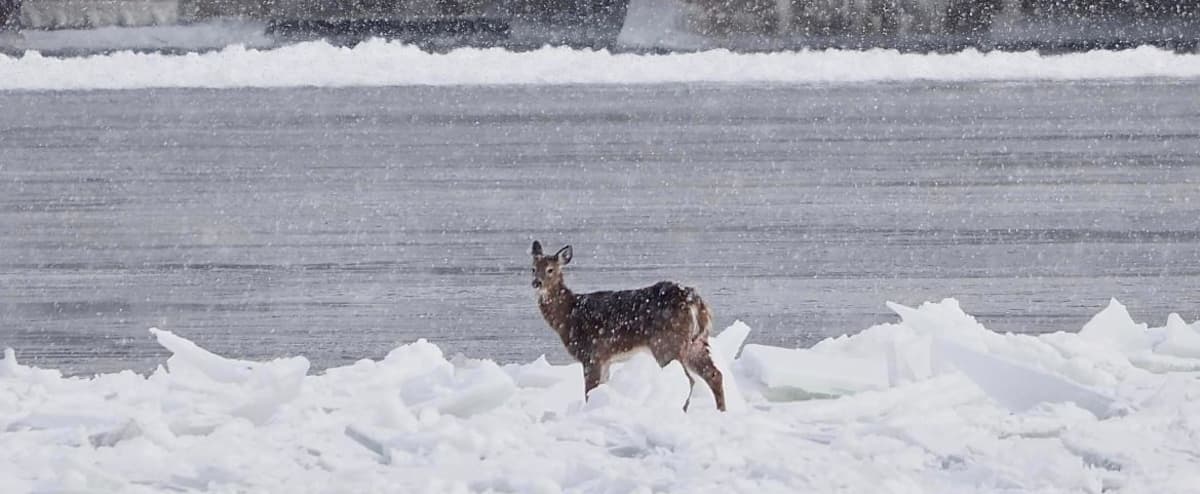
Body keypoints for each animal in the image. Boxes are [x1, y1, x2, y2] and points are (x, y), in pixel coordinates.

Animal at [530, 241, 724, 410]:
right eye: (533, 268)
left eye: (550, 270)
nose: (536, 283)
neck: (569, 315)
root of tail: (694, 300)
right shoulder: (605, 358)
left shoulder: (591, 353)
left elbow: (589, 391)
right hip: (697, 341)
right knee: (714, 374)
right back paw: (721, 412)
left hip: (667, 343)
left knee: (688, 380)